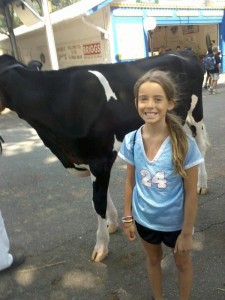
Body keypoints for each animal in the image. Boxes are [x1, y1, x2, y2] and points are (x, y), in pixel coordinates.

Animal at [0, 52, 208, 262]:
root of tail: (183, 53)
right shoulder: (89, 160)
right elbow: (100, 198)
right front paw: (113, 223)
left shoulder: (99, 158)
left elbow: (98, 202)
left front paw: (101, 246)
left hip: (196, 113)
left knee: (200, 147)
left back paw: (201, 185)